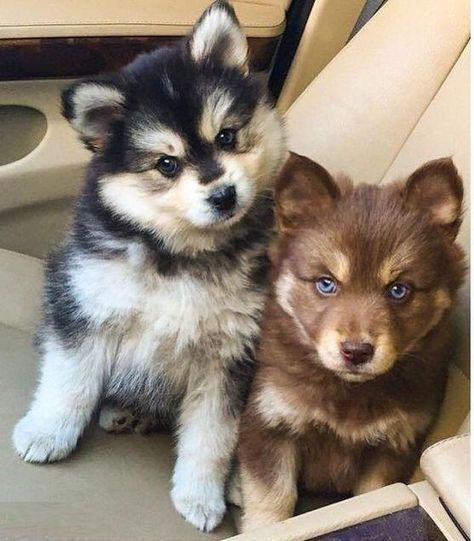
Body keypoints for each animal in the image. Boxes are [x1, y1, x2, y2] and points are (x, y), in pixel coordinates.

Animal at [12, 1, 286, 532]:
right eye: (167, 164)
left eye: (227, 136)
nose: (224, 195)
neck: (180, 254)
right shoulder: (85, 305)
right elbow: (69, 383)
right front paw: (48, 432)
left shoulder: (230, 356)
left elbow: (212, 436)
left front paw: (201, 494)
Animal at [239, 153, 464, 532]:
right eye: (326, 283)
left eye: (398, 290)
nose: (356, 352)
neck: (348, 390)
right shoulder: (270, 423)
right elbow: (271, 500)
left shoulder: (393, 446)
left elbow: (373, 495)